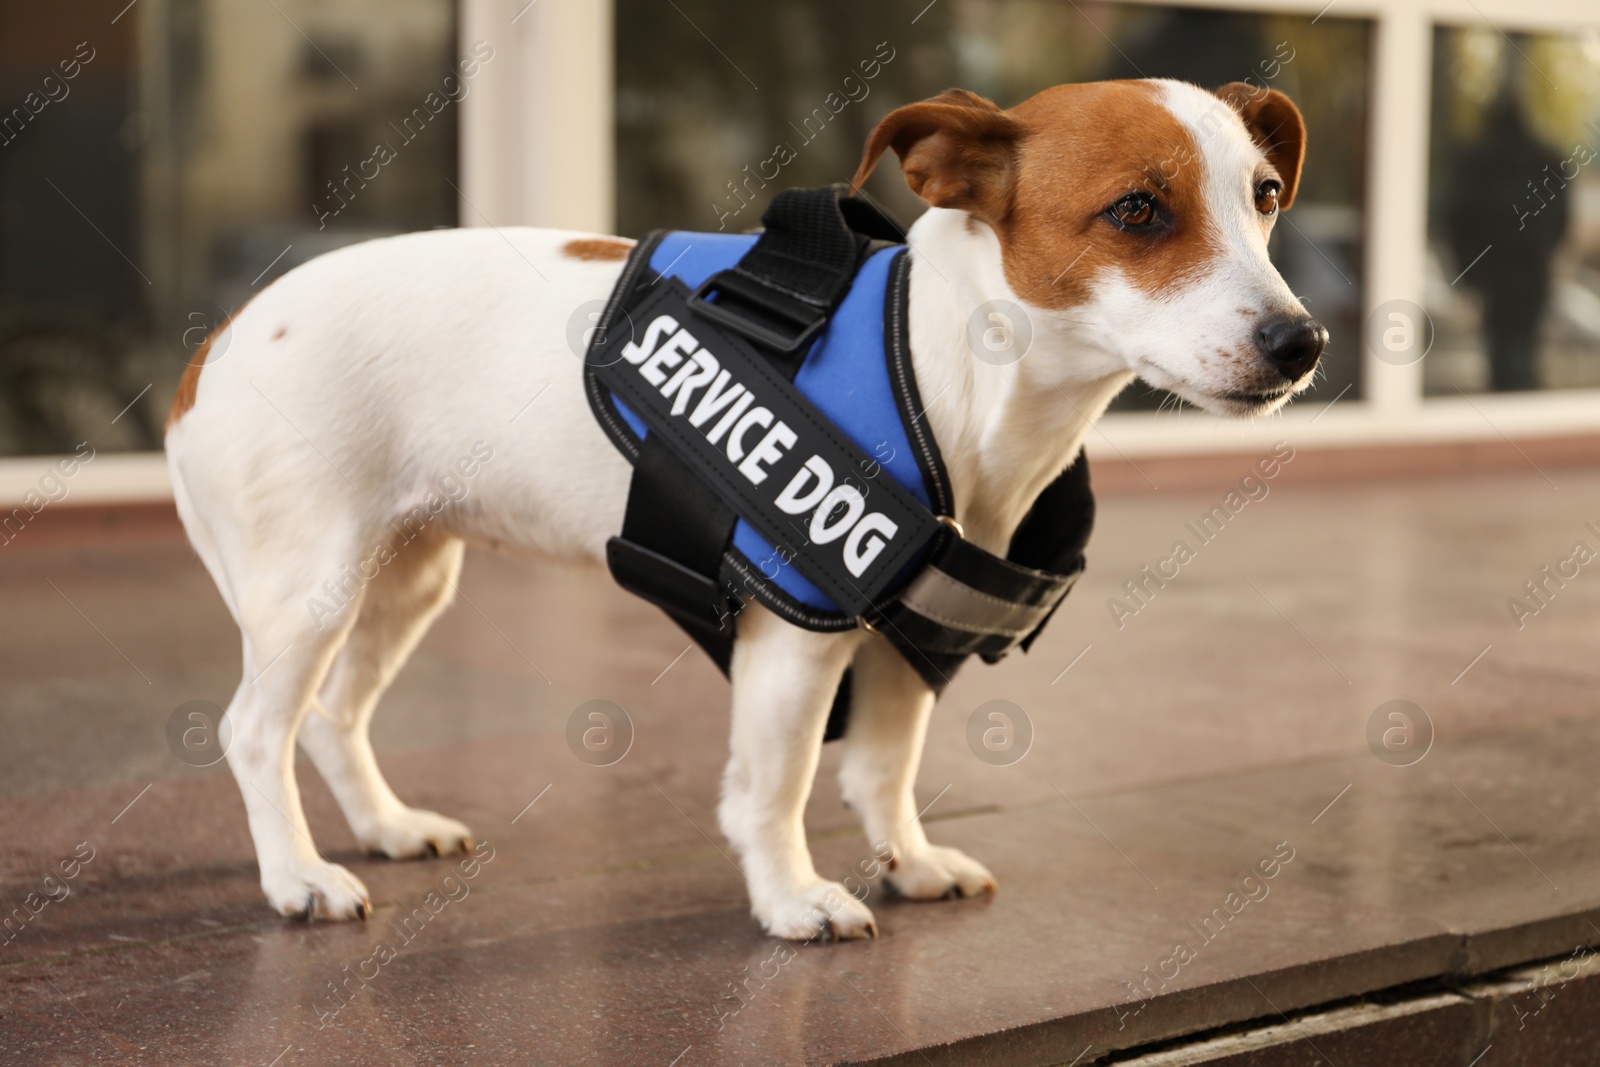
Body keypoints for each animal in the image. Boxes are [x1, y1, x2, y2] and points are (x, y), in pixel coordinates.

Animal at [168, 79, 1331, 940]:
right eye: (1136, 209)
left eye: (1267, 196)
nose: (1302, 341)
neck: (947, 359)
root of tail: (220, 336)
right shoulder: (797, 636)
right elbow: (775, 785)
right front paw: (789, 897)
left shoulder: (899, 638)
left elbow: (881, 767)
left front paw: (906, 861)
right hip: (312, 590)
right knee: (253, 731)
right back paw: (296, 875)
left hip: (405, 578)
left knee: (331, 716)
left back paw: (383, 825)